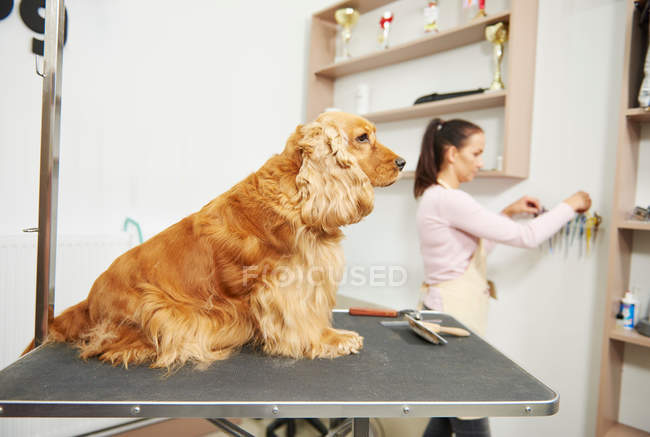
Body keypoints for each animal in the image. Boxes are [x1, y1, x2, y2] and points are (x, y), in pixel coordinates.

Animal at [24, 110, 404, 368]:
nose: (403, 162)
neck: (297, 190)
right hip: (156, 310)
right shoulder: (286, 284)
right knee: (111, 345)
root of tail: (88, 302)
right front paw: (329, 340)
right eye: (363, 138)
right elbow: (302, 321)